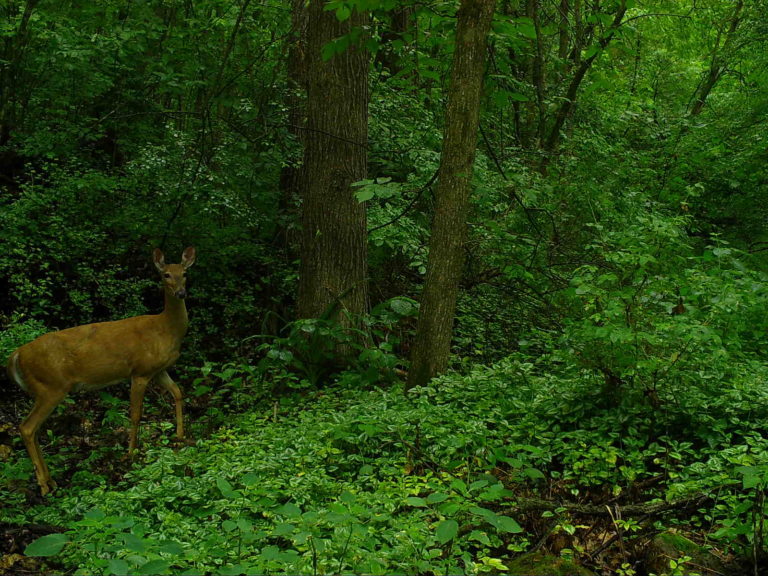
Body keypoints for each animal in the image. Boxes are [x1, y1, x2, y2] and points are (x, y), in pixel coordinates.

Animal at [6, 246, 196, 496]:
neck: (166, 329)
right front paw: (130, 454)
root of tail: (16, 355)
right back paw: (44, 485)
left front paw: (180, 437)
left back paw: (51, 481)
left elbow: (178, 393)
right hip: (51, 386)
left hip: (44, 389)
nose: (181, 293)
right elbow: (135, 414)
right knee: (27, 427)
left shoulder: (159, 370)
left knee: (34, 428)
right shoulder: (140, 371)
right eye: (166, 275)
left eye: (184, 273)